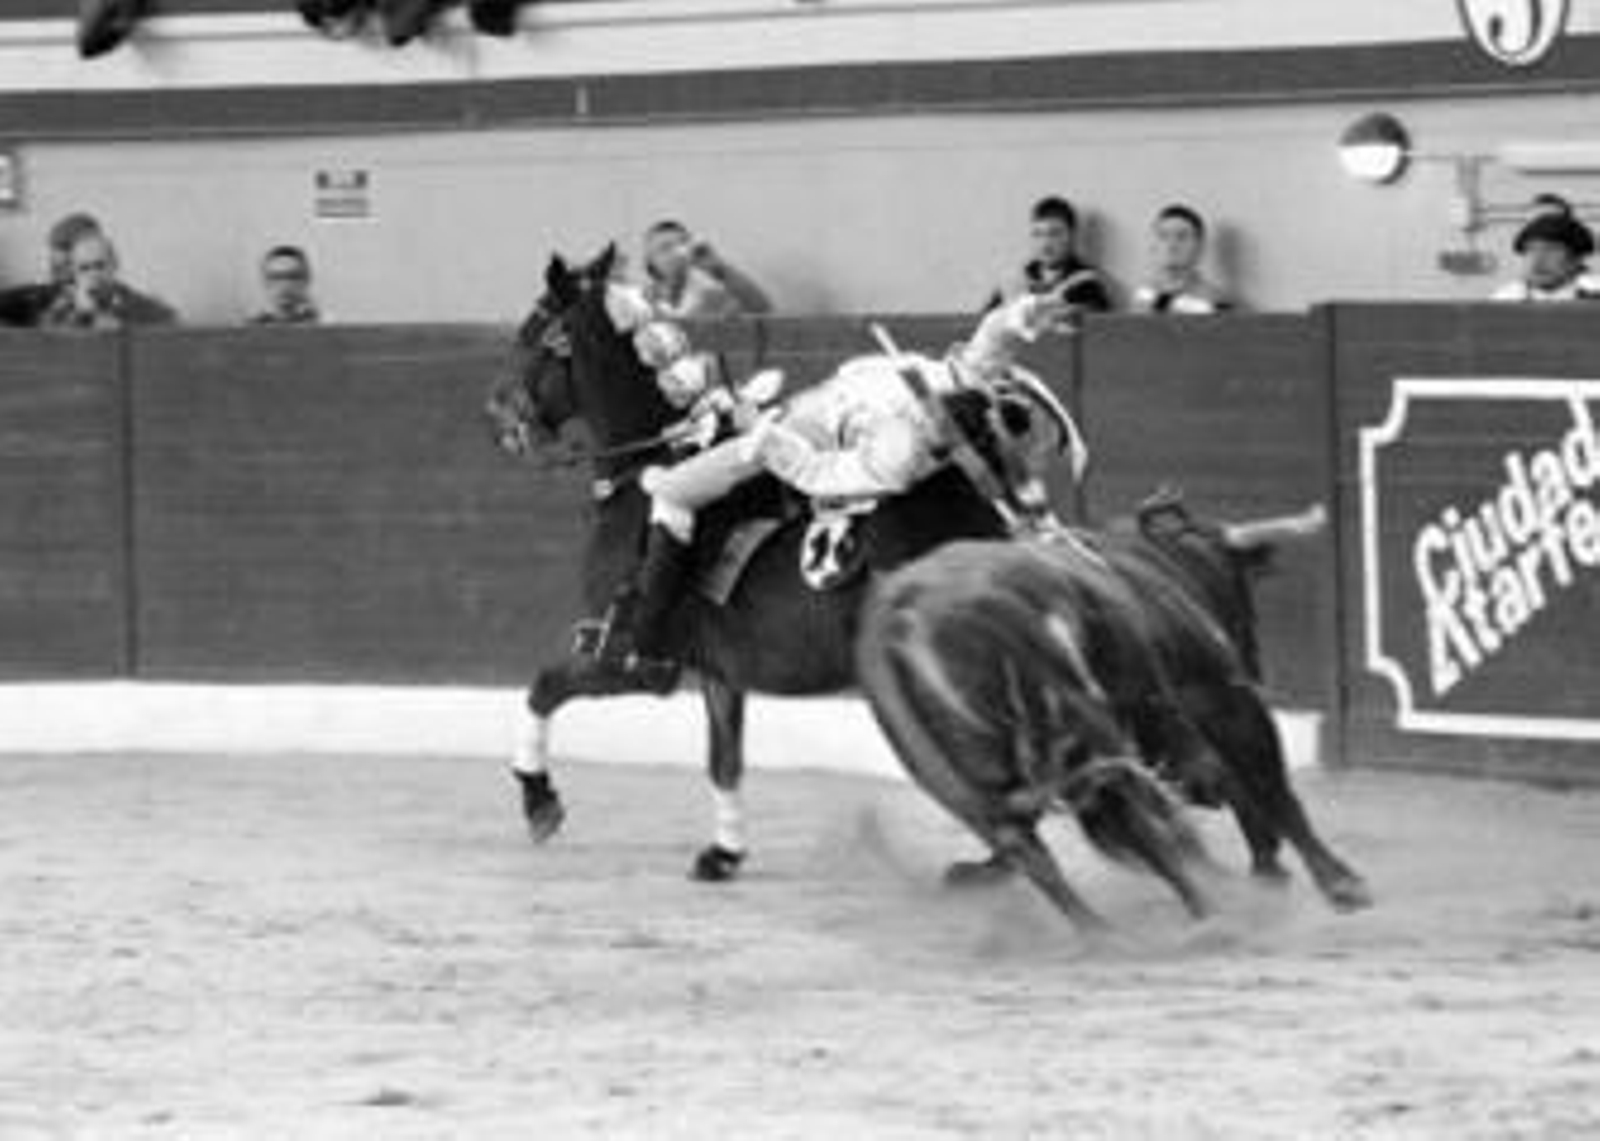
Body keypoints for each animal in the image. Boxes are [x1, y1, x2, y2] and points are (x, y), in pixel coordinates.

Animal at [485, 246, 1028, 880]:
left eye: (533, 335)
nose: (499, 416)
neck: (643, 475)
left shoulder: (624, 660)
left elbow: (544, 687)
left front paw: (538, 799)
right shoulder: (720, 670)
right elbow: (724, 759)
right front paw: (724, 852)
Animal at [854, 495, 1372, 929]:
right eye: (1240, 591)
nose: (1252, 658)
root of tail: (905, 614)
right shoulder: (1223, 699)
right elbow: (1267, 787)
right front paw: (1339, 883)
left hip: (963, 786)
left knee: (1032, 848)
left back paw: (1109, 932)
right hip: (1082, 723)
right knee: (1141, 814)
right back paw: (1216, 911)